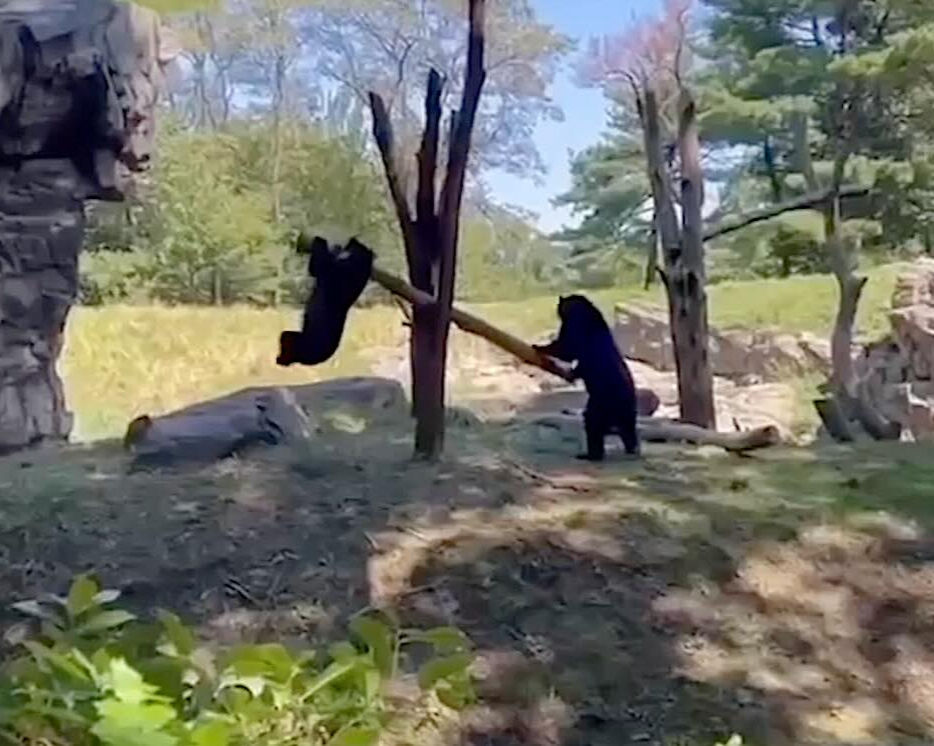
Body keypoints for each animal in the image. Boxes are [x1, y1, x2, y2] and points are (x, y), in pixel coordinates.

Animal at [277, 236, 374, 366]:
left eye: (358, 246)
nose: (353, 240)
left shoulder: (333, 272)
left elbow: (316, 265)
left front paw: (320, 240)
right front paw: (335, 248)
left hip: (303, 343)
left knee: (287, 338)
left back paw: (281, 358)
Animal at [534, 294, 640, 461]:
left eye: (560, 306)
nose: (557, 308)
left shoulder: (575, 326)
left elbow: (567, 347)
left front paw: (539, 347)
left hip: (602, 402)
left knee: (593, 422)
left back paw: (591, 454)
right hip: (625, 412)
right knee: (628, 431)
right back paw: (632, 449)